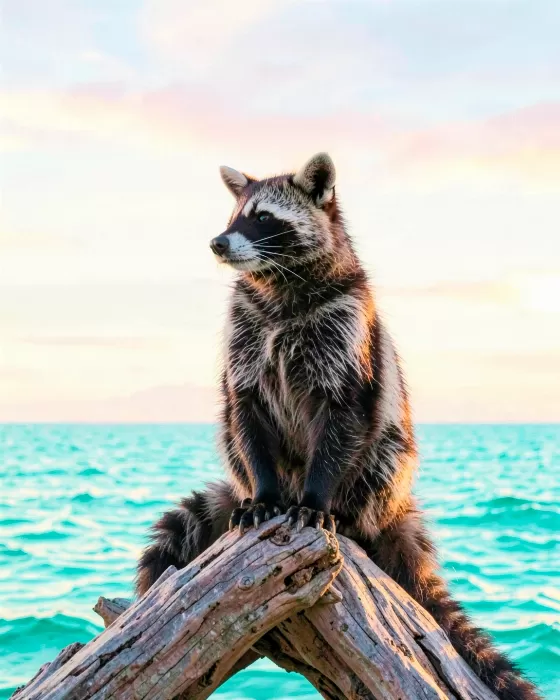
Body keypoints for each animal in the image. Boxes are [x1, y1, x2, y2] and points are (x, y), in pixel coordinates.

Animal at [137, 153, 541, 700]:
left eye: (263, 218)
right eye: (233, 216)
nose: (217, 243)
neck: (277, 283)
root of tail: (396, 509)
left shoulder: (345, 337)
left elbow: (342, 420)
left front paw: (317, 499)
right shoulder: (246, 338)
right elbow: (245, 413)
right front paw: (263, 494)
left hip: (388, 463)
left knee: (381, 450)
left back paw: (345, 516)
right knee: (230, 432)